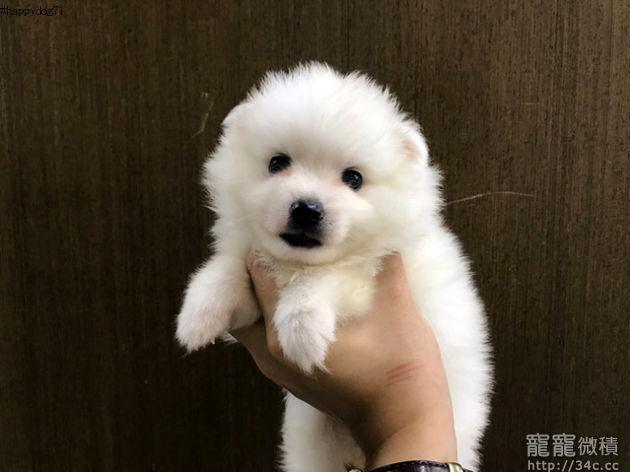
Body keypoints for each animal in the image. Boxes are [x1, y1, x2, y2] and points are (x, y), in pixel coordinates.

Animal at [176, 62, 492, 471]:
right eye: (277, 162)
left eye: (353, 178)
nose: (307, 209)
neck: (295, 262)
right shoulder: (254, 300)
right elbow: (230, 268)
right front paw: (199, 312)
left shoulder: (368, 275)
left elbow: (330, 277)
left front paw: (302, 327)